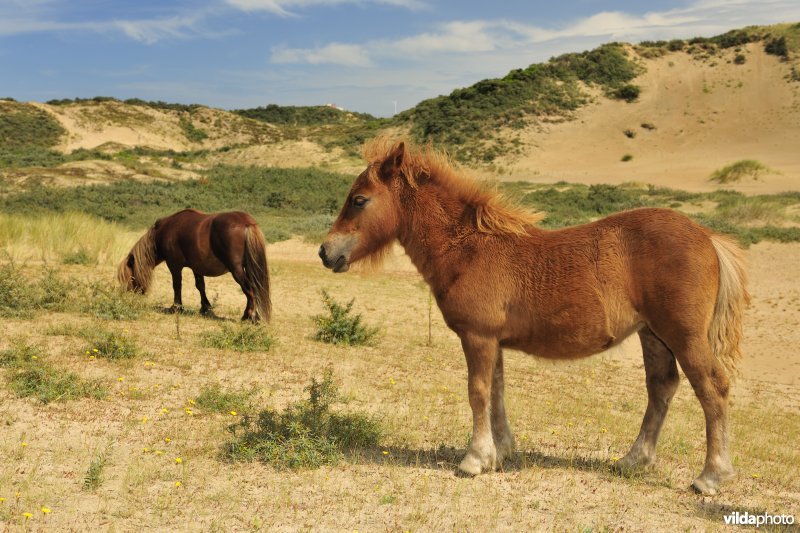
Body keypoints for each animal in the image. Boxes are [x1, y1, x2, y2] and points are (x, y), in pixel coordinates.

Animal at [117, 209, 271, 322]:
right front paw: (205, 308)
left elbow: (177, 285)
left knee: (250, 290)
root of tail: (247, 223)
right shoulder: (197, 267)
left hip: (237, 270)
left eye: (130, 276)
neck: (165, 230)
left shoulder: (174, 265)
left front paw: (176, 307)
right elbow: (200, 286)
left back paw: (248, 316)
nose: (127, 297)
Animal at [319, 138, 749, 495]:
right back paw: (632, 461)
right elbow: (496, 392)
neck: (468, 248)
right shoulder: (492, 340)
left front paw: (474, 460)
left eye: (359, 200)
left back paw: (711, 476)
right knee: (661, 388)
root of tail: (708, 236)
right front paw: (501, 452)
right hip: (653, 335)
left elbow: (478, 392)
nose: (325, 252)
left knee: (712, 389)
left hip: (684, 336)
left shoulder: (477, 336)